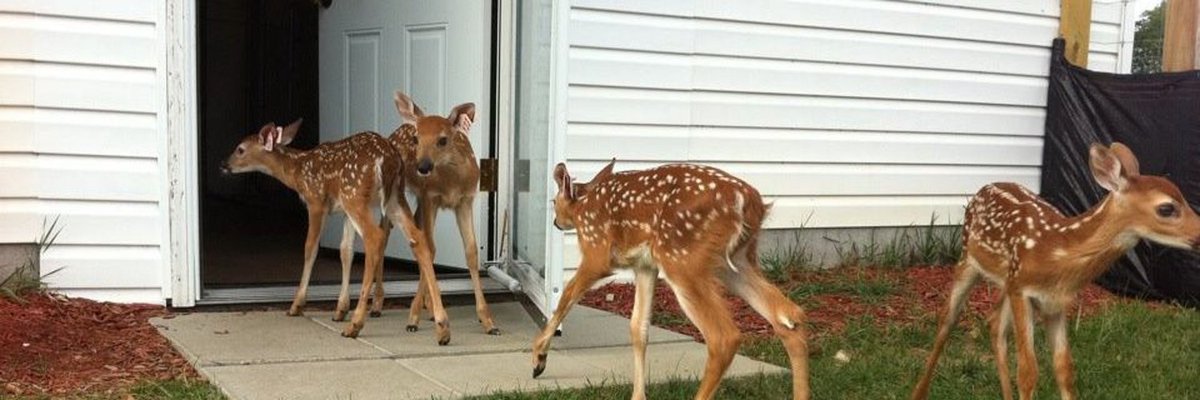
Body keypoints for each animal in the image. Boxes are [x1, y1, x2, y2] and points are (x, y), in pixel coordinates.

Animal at [221, 119, 450, 343]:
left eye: (240, 149)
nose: (223, 165)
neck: (298, 171)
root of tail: (387, 161)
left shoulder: (316, 201)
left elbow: (310, 248)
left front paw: (297, 305)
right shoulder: (344, 212)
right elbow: (345, 251)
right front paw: (340, 309)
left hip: (355, 195)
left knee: (375, 237)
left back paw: (356, 324)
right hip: (393, 197)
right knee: (419, 238)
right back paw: (441, 327)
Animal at [389, 91, 499, 336]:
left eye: (443, 140)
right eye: (416, 139)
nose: (423, 166)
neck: (452, 183)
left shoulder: (465, 201)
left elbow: (471, 252)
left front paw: (488, 322)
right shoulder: (430, 197)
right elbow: (429, 249)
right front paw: (413, 318)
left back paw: (429, 309)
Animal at [531, 160, 811, 400]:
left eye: (553, 201)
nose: (556, 222)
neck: (583, 207)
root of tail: (748, 202)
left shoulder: (596, 252)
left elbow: (567, 295)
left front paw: (538, 359)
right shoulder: (645, 266)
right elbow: (638, 328)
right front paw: (638, 396)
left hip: (683, 259)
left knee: (723, 336)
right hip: (735, 261)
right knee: (788, 315)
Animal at [911, 142, 1200, 400]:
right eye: (1167, 208)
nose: (1199, 234)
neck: (1058, 255)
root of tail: (985, 187)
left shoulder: (1055, 303)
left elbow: (1064, 370)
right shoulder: (1023, 291)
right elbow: (1028, 372)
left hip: (1006, 282)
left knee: (995, 325)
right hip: (968, 261)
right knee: (947, 322)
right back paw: (918, 392)